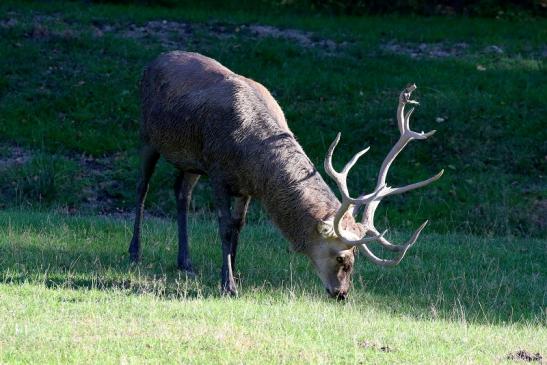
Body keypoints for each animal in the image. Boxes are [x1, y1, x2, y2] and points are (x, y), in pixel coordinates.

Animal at [128, 49, 446, 298]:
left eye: (354, 259)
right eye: (341, 258)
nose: (342, 294)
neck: (252, 157)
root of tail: (154, 60)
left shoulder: (245, 186)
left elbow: (238, 227)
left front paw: (234, 273)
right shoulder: (218, 172)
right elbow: (225, 227)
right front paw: (228, 285)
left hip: (191, 161)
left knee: (181, 192)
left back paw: (185, 262)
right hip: (146, 134)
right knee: (142, 187)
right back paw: (135, 253)